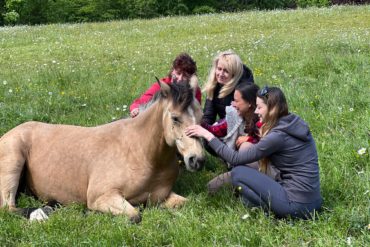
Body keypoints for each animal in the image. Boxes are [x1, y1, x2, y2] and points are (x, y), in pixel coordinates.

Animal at [0, 80, 205, 222]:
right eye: (175, 118)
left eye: (201, 117)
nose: (197, 160)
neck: (141, 153)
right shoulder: (102, 197)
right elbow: (135, 215)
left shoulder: (162, 196)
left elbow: (186, 203)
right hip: (13, 163)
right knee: (8, 207)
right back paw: (40, 213)